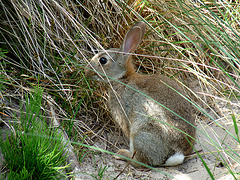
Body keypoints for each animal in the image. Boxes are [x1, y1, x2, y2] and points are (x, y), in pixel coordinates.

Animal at [84, 21, 195, 167]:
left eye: (103, 60)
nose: (86, 72)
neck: (123, 78)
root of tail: (177, 154)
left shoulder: (124, 115)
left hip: (141, 132)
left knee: (140, 162)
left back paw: (121, 154)